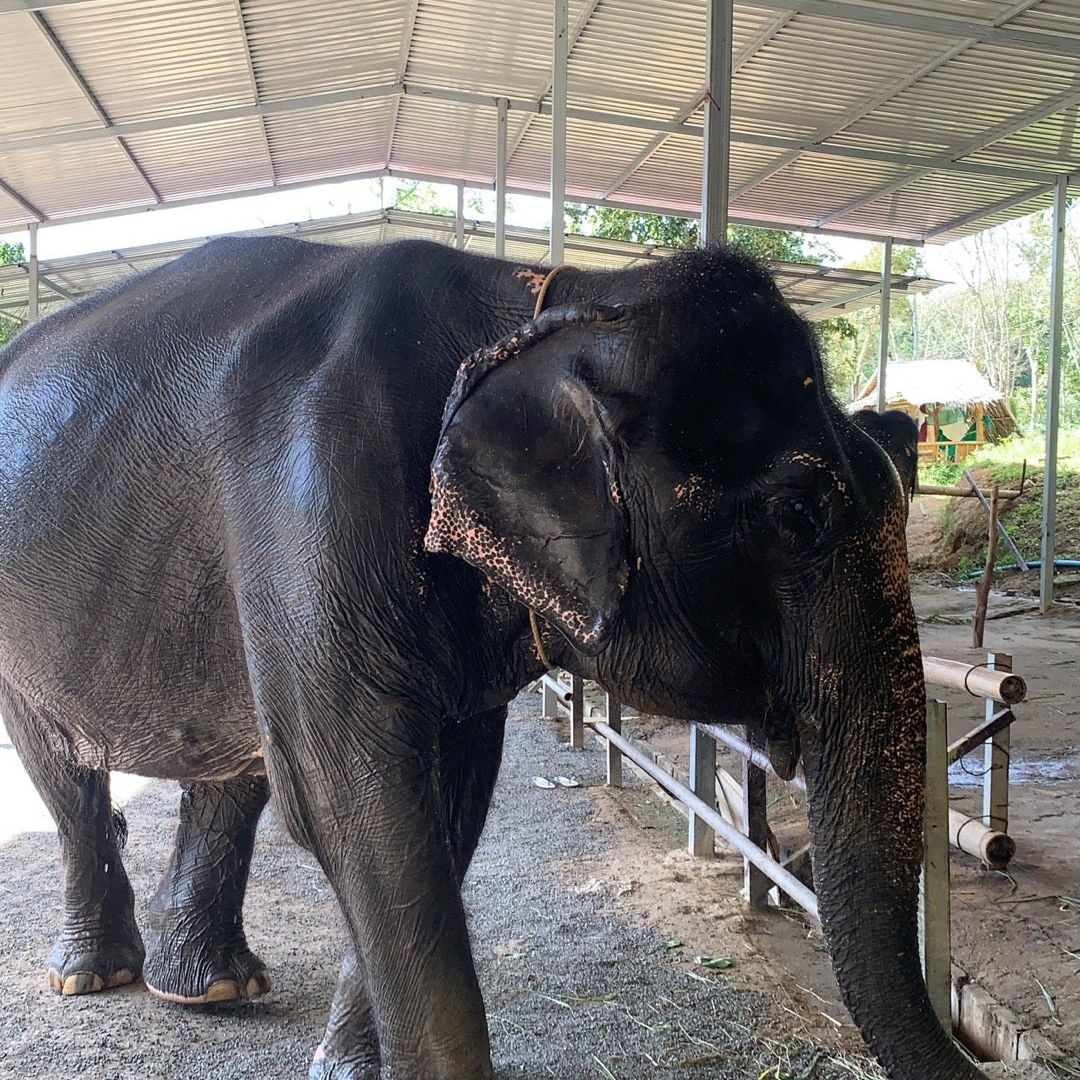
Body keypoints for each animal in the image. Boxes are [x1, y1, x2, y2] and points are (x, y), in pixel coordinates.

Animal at [0, 238, 980, 1080]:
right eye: (798, 517)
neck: (553, 305)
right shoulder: (313, 501)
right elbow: (351, 799)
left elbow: (451, 788)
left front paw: (356, 1069)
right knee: (69, 776)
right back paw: (93, 978)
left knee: (230, 766)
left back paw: (208, 988)